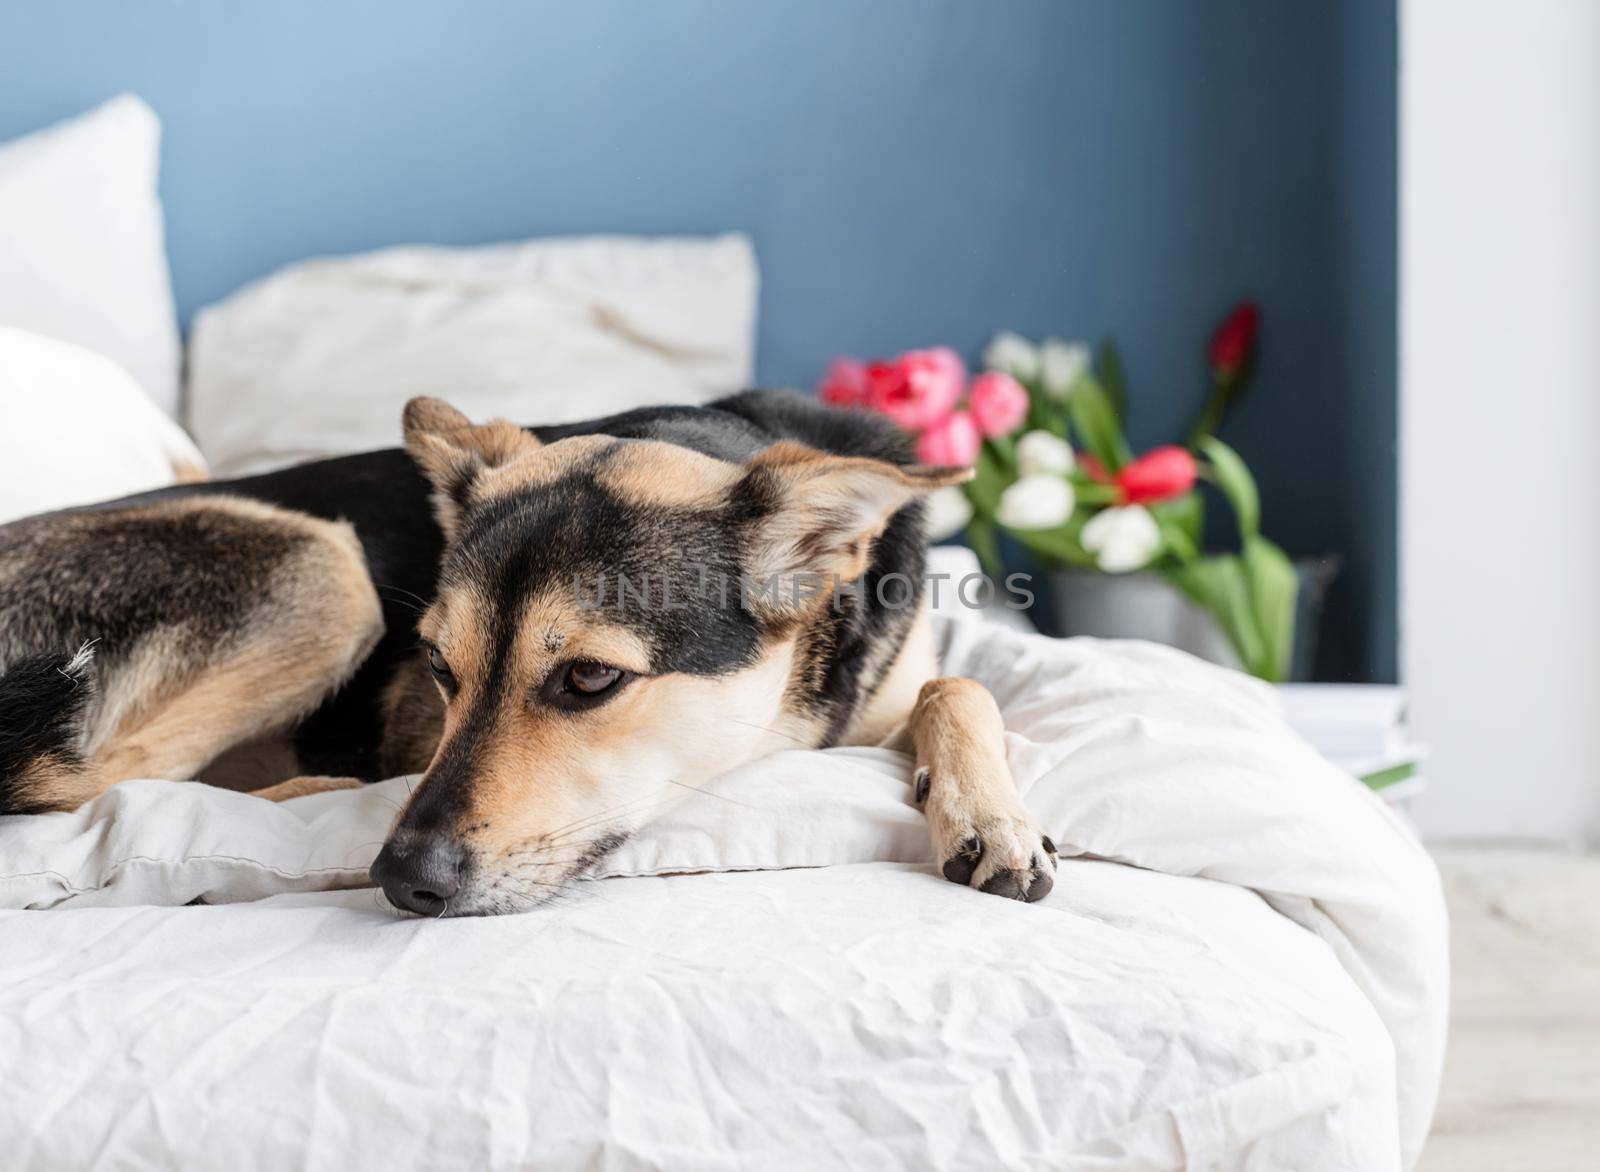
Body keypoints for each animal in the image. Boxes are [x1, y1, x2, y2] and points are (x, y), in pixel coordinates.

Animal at [3, 393, 1062, 915]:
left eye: (590, 677)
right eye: (439, 668)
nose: (404, 882)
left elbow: (957, 683)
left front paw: (990, 815)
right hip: (323, 570)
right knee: (92, 787)